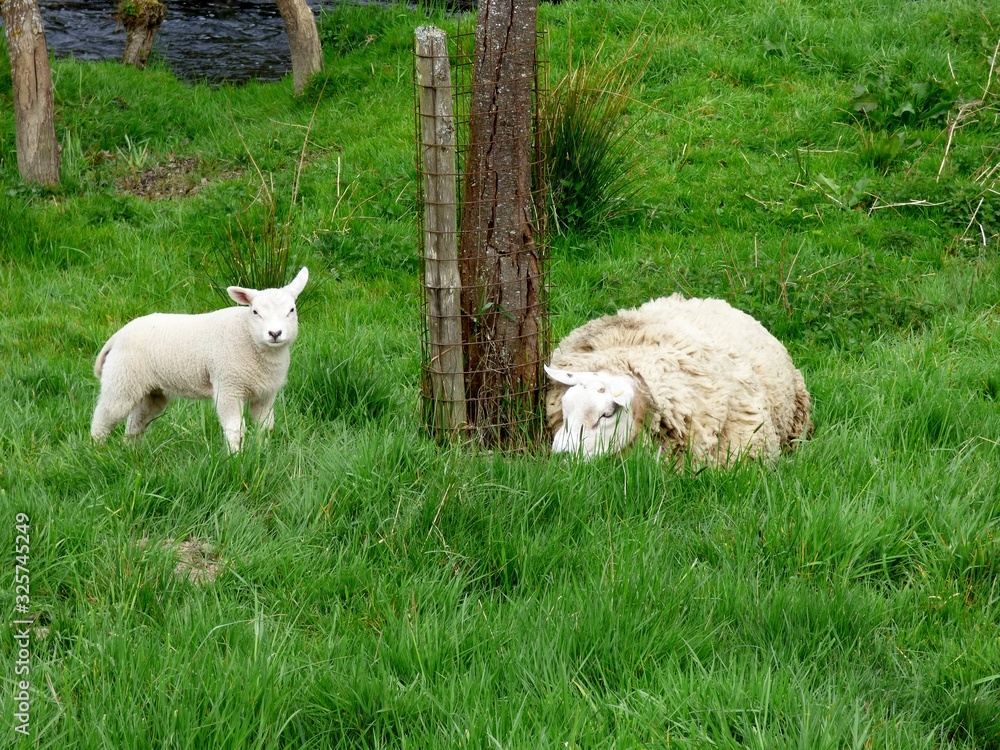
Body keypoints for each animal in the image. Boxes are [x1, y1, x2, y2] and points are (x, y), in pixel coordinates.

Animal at [91, 268, 309, 452]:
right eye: (255, 312)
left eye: (291, 310)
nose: (275, 333)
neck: (249, 337)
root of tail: (118, 335)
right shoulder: (228, 387)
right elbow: (235, 430)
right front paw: (236, 458)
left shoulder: (265, 394)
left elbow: (265, 427)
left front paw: (262, 453)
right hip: (121, 381)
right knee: (103, 418)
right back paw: (98, 451)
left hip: (152, 391)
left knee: (135, 422)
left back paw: (132, 452)